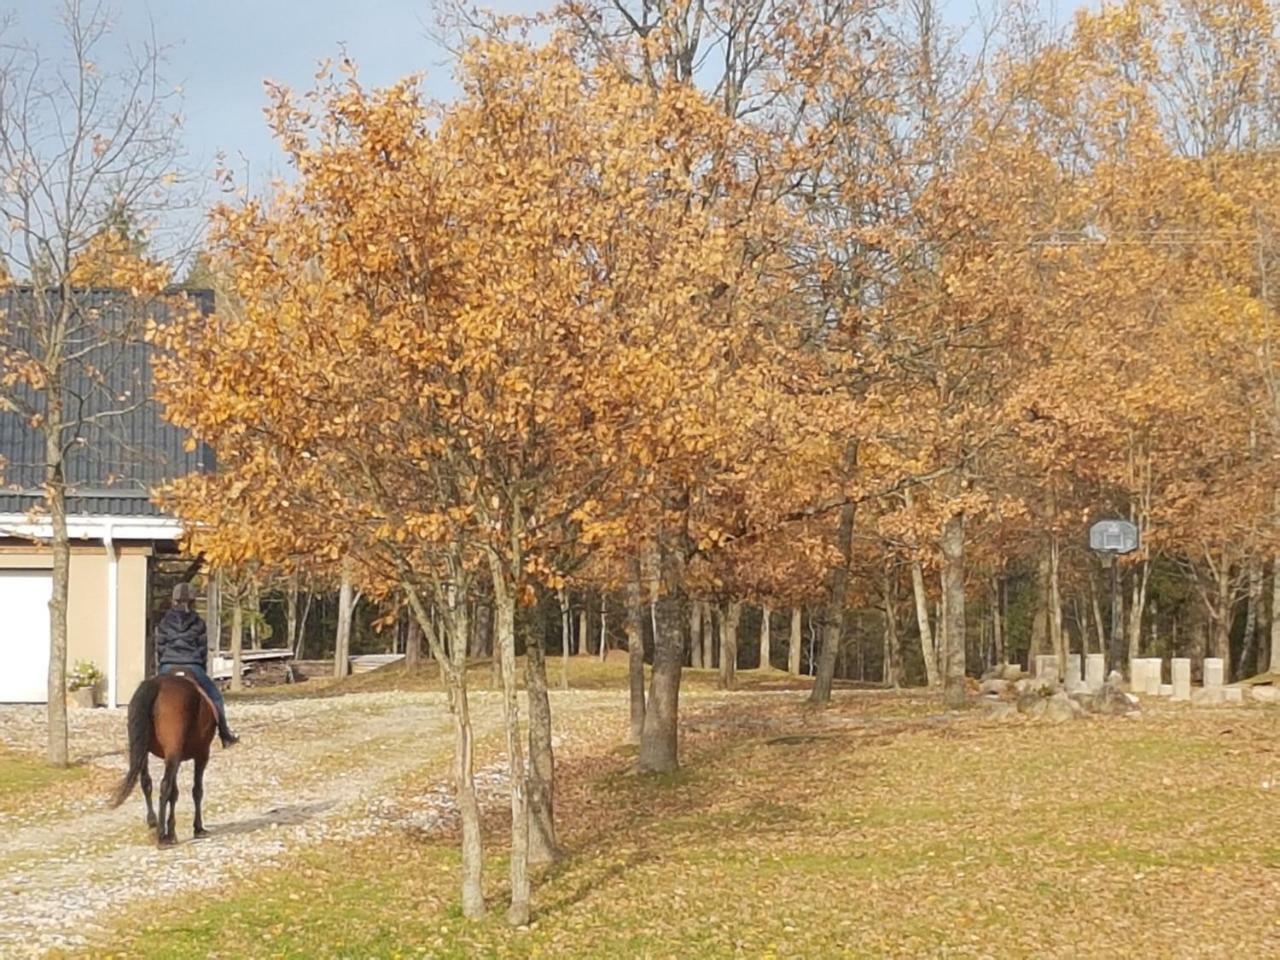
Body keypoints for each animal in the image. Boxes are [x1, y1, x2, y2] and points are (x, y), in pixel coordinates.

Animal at [113, 670, 218, 844]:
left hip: (145, 751)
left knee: (147, 783)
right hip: (176, 753)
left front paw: (172, 831)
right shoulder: (202, 754)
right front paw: (197, 828)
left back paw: (153, 824)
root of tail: (157, 685)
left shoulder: (174, 757)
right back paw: (161, 835)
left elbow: (174, 794)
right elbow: (196, 790)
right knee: (164, 785)